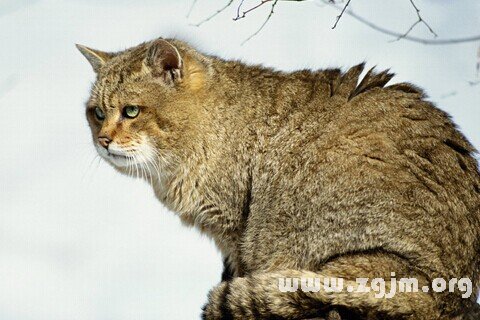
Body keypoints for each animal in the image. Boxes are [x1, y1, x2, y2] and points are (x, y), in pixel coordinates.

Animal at [78, 38, 480, 318]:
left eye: (131, 111)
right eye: (96, 113)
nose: (103, 140)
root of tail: (446, 296)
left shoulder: (237, 231)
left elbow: (237, 273)